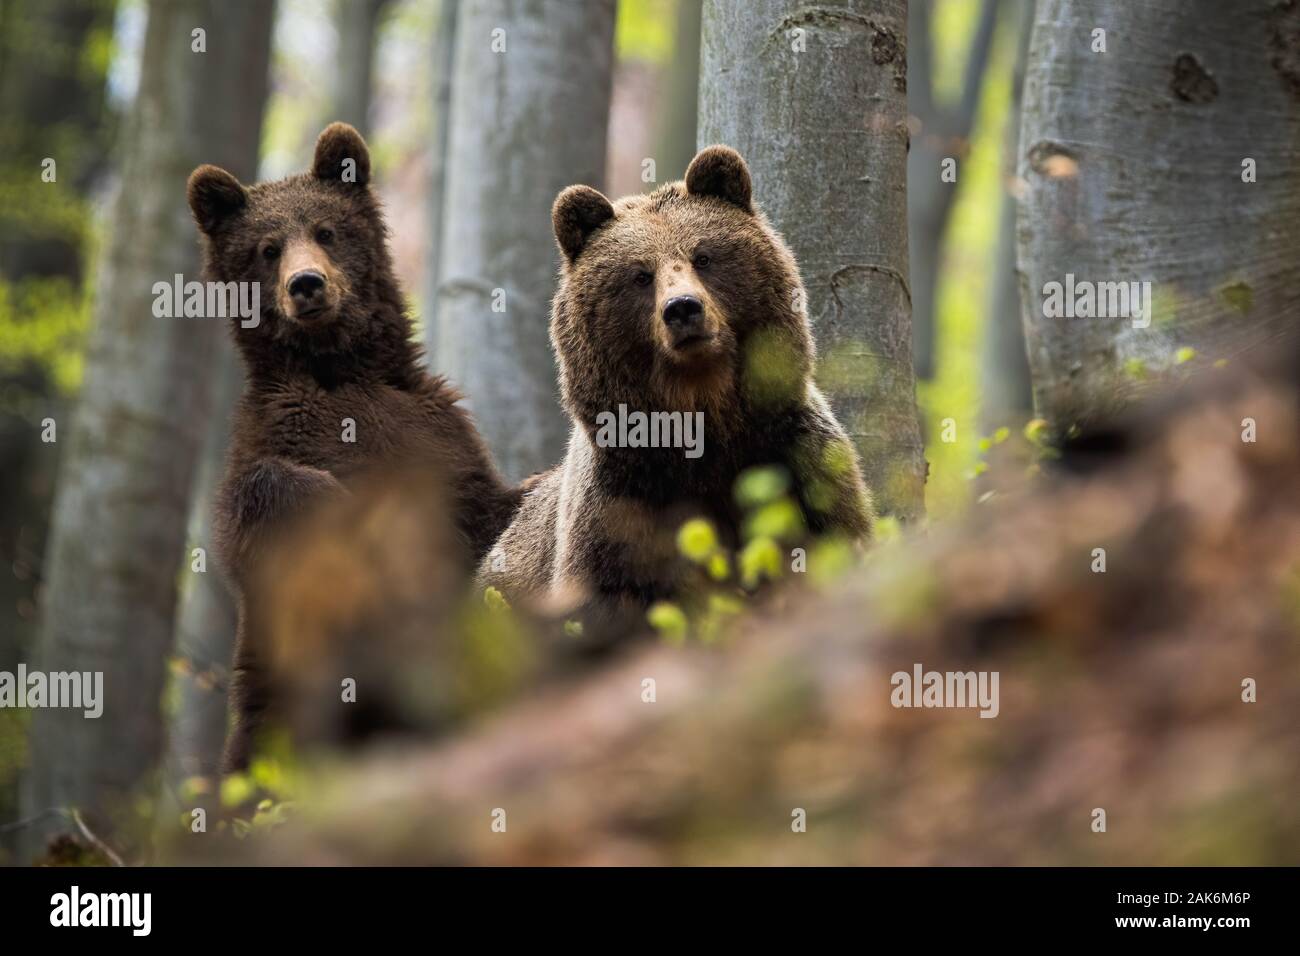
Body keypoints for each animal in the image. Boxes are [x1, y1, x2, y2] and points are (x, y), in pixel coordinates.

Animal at [187, 122, 520, 771]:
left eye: (326, 230)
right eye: (267, 248)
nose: (307, 284)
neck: (339, 370)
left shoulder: (438, 438)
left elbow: (488, 509)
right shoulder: (275, 434)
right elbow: (262, 505)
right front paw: (333, 501)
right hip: (270, 712)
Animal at [478, 145, 872, 641]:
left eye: (703, 255)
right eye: (640, 274)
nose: (683, 308)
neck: (703, 415)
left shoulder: (798, 462)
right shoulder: (618, 506)